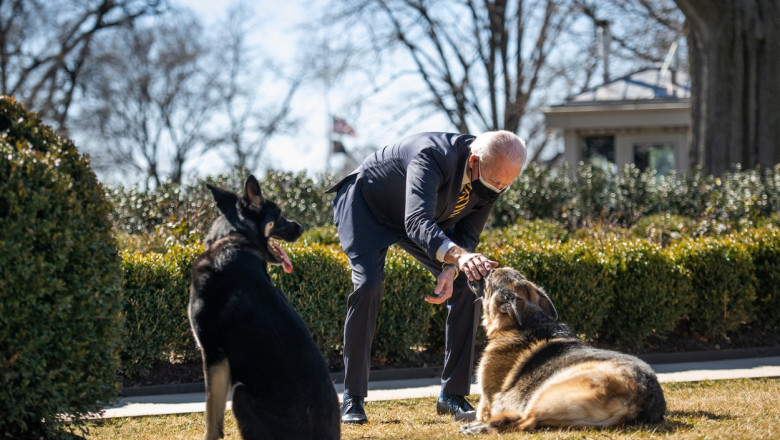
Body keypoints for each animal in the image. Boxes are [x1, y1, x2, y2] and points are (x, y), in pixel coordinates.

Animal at [190, 176, 342, 440]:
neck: (235, 238)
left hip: (241, 396)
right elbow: (215, 421)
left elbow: (211, 418)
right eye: (279, 214)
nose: (301, 228)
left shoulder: (213, 354)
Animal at [464, 268, 664, 434]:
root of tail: (640, 398)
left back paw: (480, 428)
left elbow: (484, 410)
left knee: (525, 423)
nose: (479, 269)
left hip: (547, 393)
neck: (530, 321)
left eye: (489, 276)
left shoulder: (486, 401)